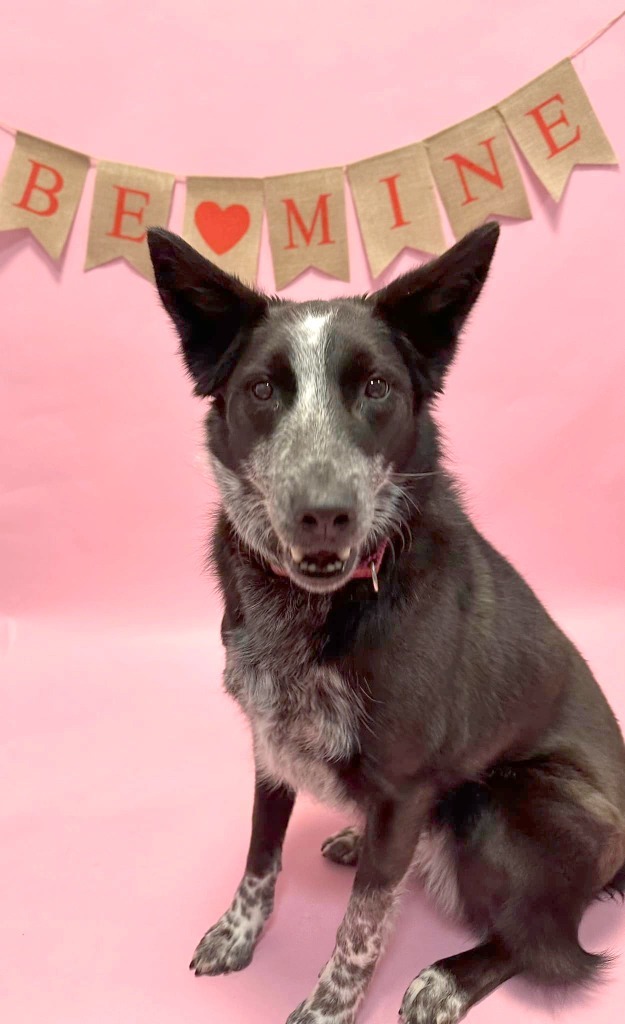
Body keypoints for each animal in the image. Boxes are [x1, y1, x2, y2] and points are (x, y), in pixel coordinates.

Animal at [147, 226, 622, 1024]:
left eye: (376, 388)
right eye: (262, 390)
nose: (323, 512)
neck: (316, 607)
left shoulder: (403, 789)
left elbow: (361, 926)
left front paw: (328, 1008)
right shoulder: (270, 741)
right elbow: (260, 856)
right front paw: (237, 934)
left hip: (504, 803)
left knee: (542, 945)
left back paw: (445, 979)